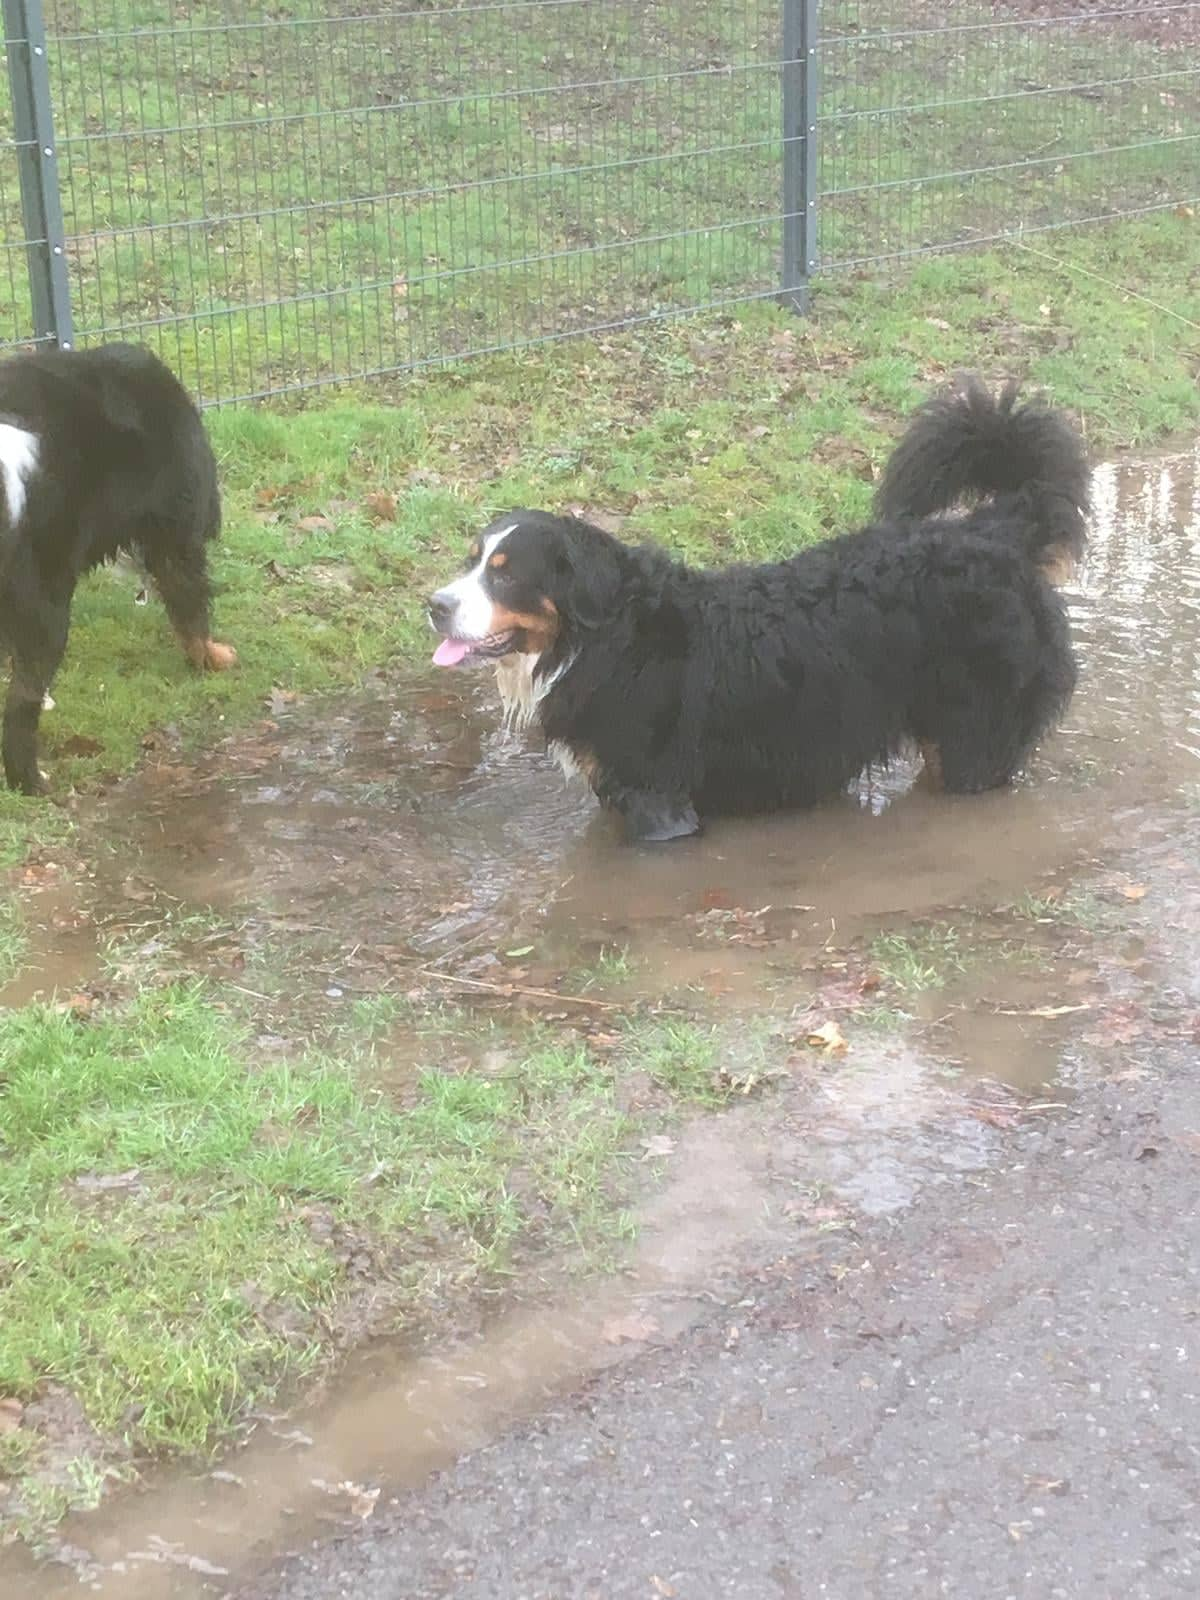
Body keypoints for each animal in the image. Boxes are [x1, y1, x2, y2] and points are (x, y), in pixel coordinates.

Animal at [0, 340, 235, 790]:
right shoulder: (177, 533)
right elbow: (192, 613)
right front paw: (212, 660)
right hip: (48, 604)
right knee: (21, 708)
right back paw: (33, 783)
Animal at [428, 379, 1088, 844]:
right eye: (473, 559)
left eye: (506, 572)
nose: (434, 605)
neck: (605, 641)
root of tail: (992, 531)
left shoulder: (658, 801)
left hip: (976, 738)